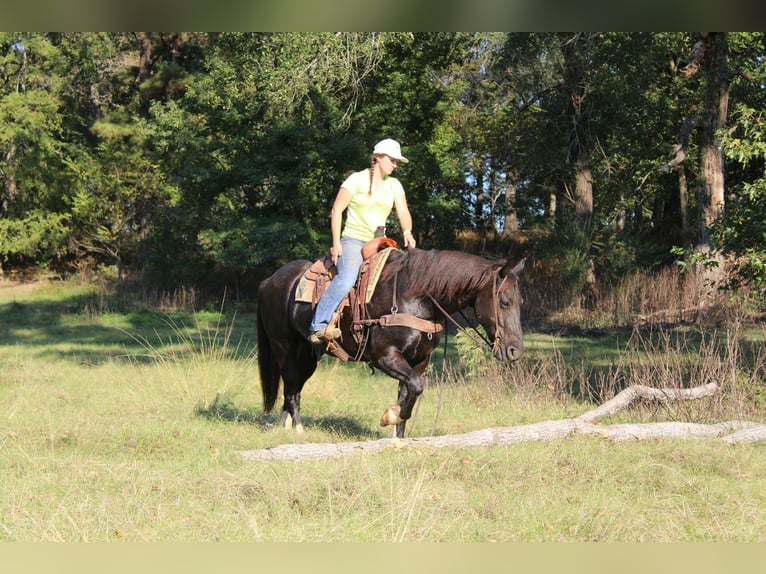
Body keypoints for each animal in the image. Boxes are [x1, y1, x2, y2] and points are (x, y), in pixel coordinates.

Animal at [257, 247, 525, 439]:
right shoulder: (385, 356)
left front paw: (398, 437)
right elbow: (415, 387)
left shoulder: (418, 361)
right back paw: (299, 430)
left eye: (520, 302)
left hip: (307, 355)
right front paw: (390, 416)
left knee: (293, 387)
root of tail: (269, 281)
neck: (416, 295)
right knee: (291, 389)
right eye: (504, 302)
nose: (515, 351)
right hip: (284, 347)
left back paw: (285, 426)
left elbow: (409, 392)